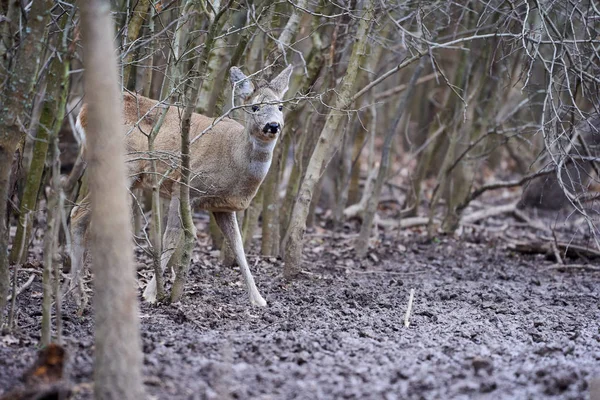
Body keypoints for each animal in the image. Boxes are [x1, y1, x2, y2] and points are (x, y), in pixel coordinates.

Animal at [69, 65, 294, 306]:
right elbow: (172, 236)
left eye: (280, 106)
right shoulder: (184, 187)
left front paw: (259, 300)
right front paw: (151, 294)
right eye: (254, 107)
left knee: (81, 214)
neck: (234, 158)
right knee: (78, 212)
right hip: (126, 165)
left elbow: (239, 247)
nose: (273, 126)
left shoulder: (222, 206)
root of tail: (82, 112)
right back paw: (79, 293)